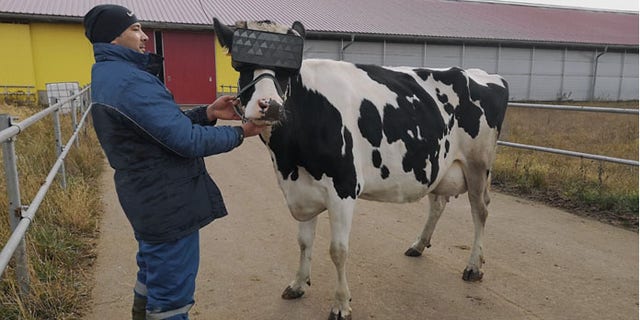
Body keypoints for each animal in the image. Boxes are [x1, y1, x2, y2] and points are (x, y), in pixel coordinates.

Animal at [212, 18, 508, 320]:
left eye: (288, 72)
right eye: (241, 67)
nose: (269, 106)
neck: (289, 160)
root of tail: (483, 74)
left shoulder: (343, 188)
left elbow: (338, 251)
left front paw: (341, 304)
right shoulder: (302, 190)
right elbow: (304, 241)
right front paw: (298, 284)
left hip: (478, 164)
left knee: (480, 210)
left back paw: (474, 266)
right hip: (440, 164)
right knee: (438, 203)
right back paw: (418, 245)